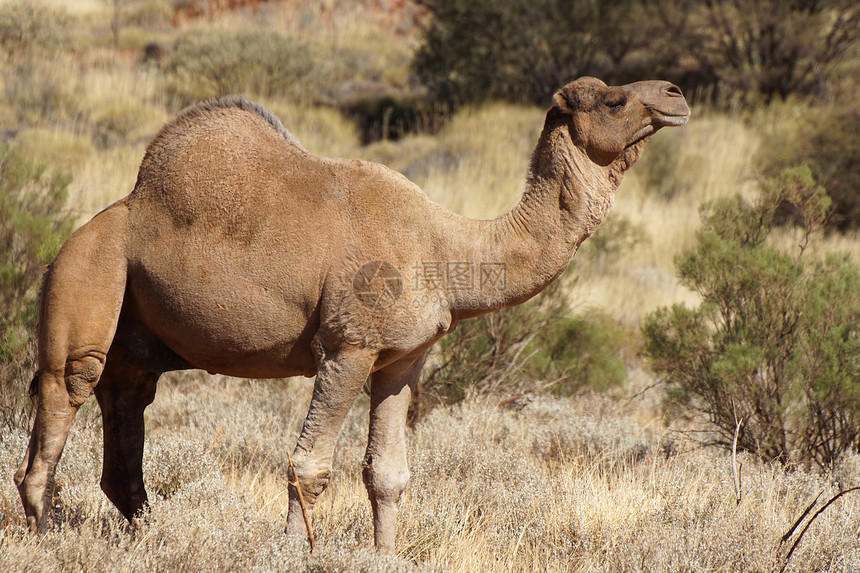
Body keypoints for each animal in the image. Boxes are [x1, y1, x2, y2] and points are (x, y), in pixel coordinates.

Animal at [15, 75, 692, 548]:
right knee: (66, 388)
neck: (443, 247)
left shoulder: (401, 360)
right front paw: (291, 552)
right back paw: (45, 534)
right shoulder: (348, 347)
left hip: (139, 337)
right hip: (88, 272)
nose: (676, 95)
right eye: (613, 101)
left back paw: (143, 531)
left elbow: (387, 474)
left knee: (126, 405)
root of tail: (94, 222)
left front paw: (383, 553)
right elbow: (309, 464)